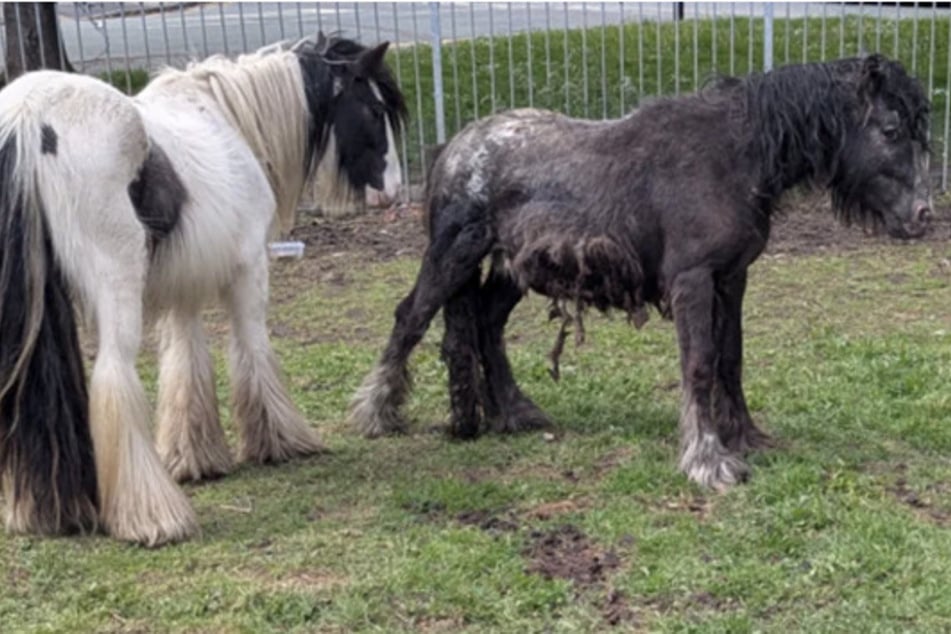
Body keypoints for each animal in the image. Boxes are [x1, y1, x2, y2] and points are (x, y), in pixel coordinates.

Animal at [0, 33, 407, 546]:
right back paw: (152, 515)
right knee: (114, 377)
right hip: (117, 289)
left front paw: (193, 458)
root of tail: (27, 117)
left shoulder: (184, 288)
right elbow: (252, 349)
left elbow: (186, 363)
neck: (229, 119)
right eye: (374, 109)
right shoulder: (250, 269)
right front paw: (280, 440)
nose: (393, 190)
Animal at [350, 54, 931, 491]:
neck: (732, 156)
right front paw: (707, 459)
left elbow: (731, 360)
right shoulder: (693, 279)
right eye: (890, 129)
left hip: (511, 270)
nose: (923, 215)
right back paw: (377, 414)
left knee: (486, 328)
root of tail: (453, 148)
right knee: (412, 318)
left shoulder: (732, 279)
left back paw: (513, 413)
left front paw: (745, 437)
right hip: (454, 255)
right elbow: (699, 364)